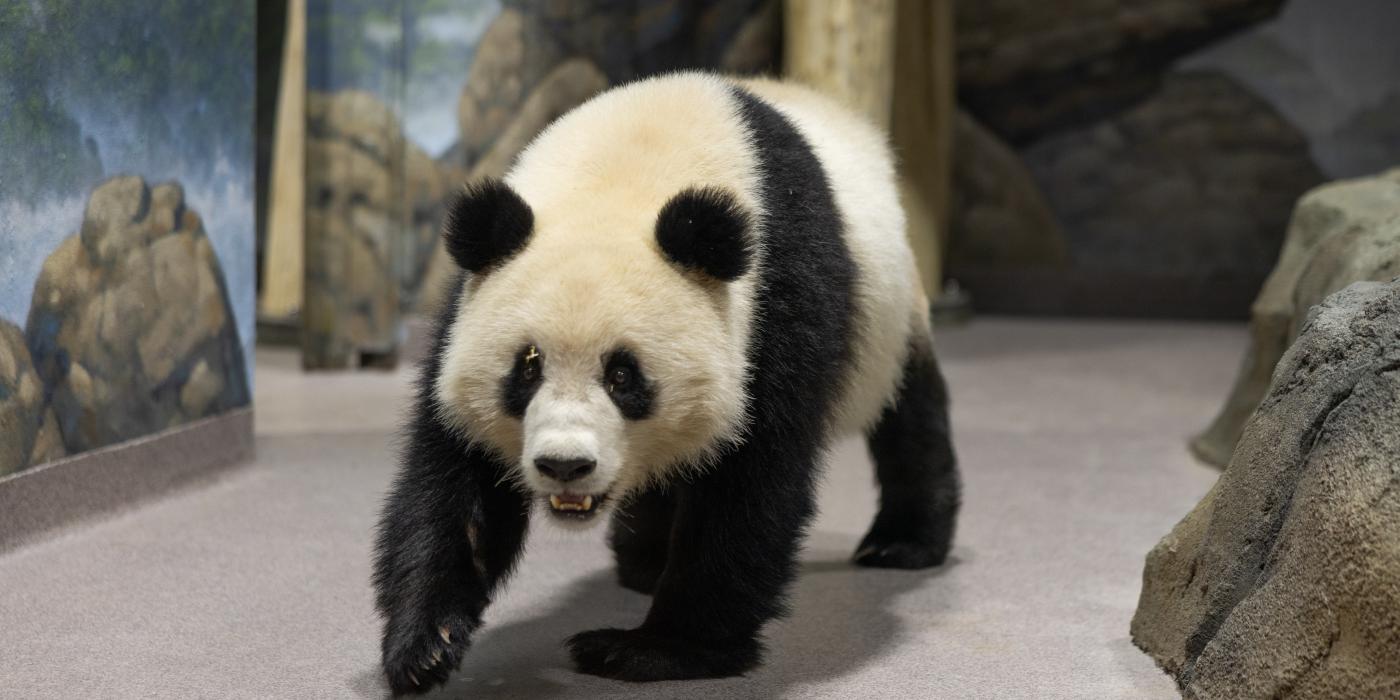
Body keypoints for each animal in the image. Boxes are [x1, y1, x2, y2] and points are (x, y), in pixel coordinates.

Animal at [372, 71, 963, 694]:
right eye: (527, 367)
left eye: (623, 376)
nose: (564, 465)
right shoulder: (462, 313)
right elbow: (456, 480)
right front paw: (424, 646)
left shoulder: (776, 303)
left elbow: (750, 483)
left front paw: (648, 650)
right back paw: (646, 561)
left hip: (891, 316)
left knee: (909, 414)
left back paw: (903, 542)